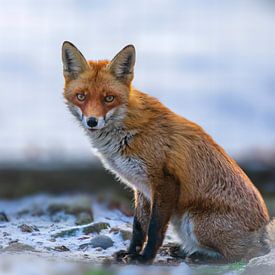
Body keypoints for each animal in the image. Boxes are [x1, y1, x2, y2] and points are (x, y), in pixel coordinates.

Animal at [62, 41, 274, 266]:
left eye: (109, 98)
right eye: (81, 96)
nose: (92, 121)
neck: (126, 131)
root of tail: (263, 231)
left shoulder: (165, 183)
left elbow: (155, 228)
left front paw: (145, 258)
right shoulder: (141, 188)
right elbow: (138, 227)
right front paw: (131, 253)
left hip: (194, 221)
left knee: (244, 256)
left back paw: (200, 256)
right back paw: (184, 250)